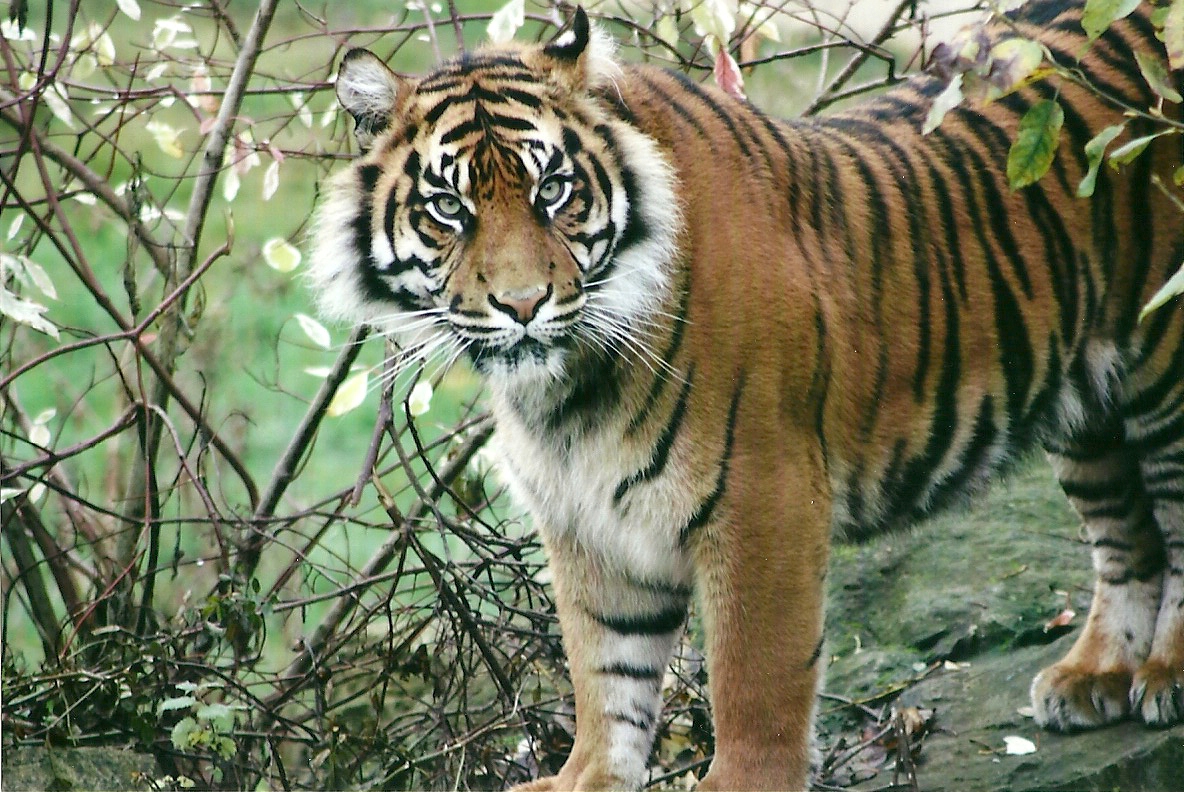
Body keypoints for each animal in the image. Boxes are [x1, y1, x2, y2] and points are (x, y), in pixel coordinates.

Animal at [307, 0, 1184, 788]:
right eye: (448, 208)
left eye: (552, 190)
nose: (523, 304)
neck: (566, 394)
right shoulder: (587, 522)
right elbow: (605, 674)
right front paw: (587, 776)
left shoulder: (764, 500)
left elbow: (753, 681)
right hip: (1087, 406)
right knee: (1125, 537)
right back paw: (1094, 678)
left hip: (1161, 373)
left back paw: (1165, 676)